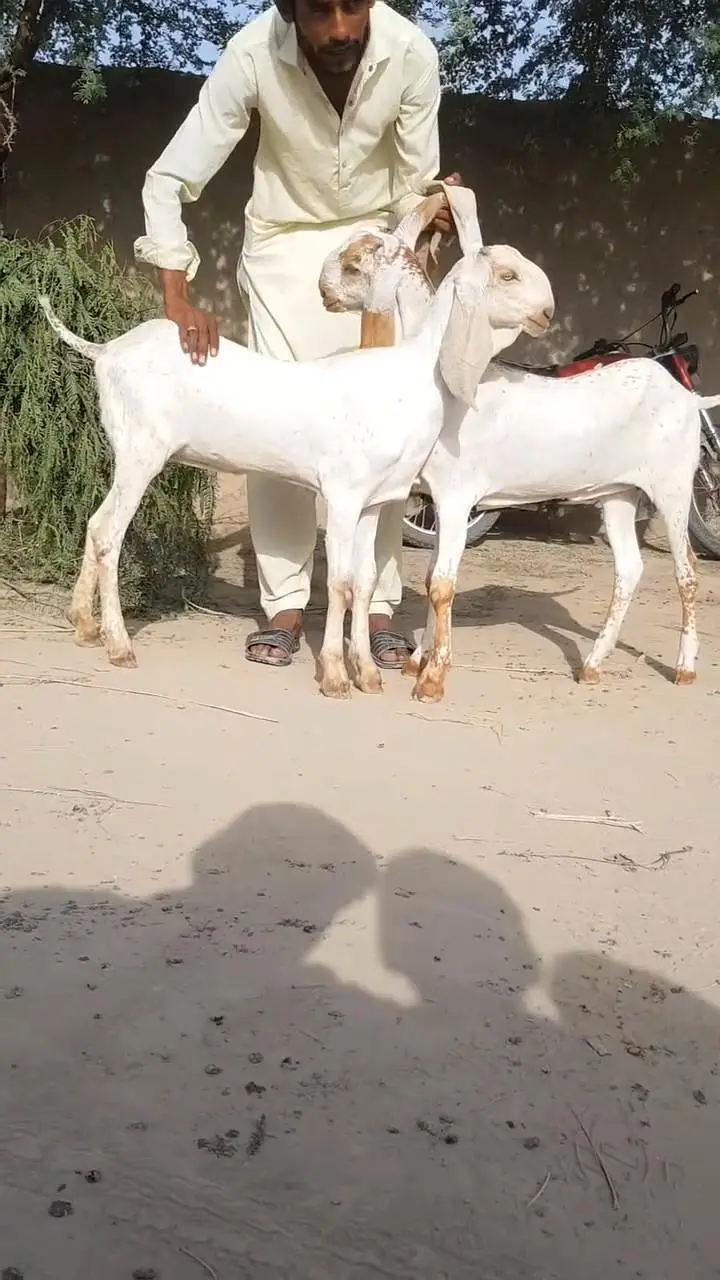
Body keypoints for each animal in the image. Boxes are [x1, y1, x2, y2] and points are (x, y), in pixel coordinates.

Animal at [38, 199, 553, 699]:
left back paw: (83, 626)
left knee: (93, 525)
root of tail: (106, 351)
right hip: (139, 454)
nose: (548, 311)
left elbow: (365, 582)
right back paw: (119, 645)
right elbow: (340, 583)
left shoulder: (374, 501)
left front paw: (368, 674)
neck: (408, 373)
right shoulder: (342, 496)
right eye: (508, 275)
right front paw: (335, 676)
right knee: (108, 533)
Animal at [321, 194, 719, 700]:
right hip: (618, 494)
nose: (323, 289)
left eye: (353, 264)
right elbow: (431, 577)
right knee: (629, 569)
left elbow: (442, 584)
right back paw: (592, 665)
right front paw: (416, 660)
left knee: (687, 571)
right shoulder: (439, 497)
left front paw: (432, 679)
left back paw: (684, 668)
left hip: (673, 486)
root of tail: (687, 396)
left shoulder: (457, 495)